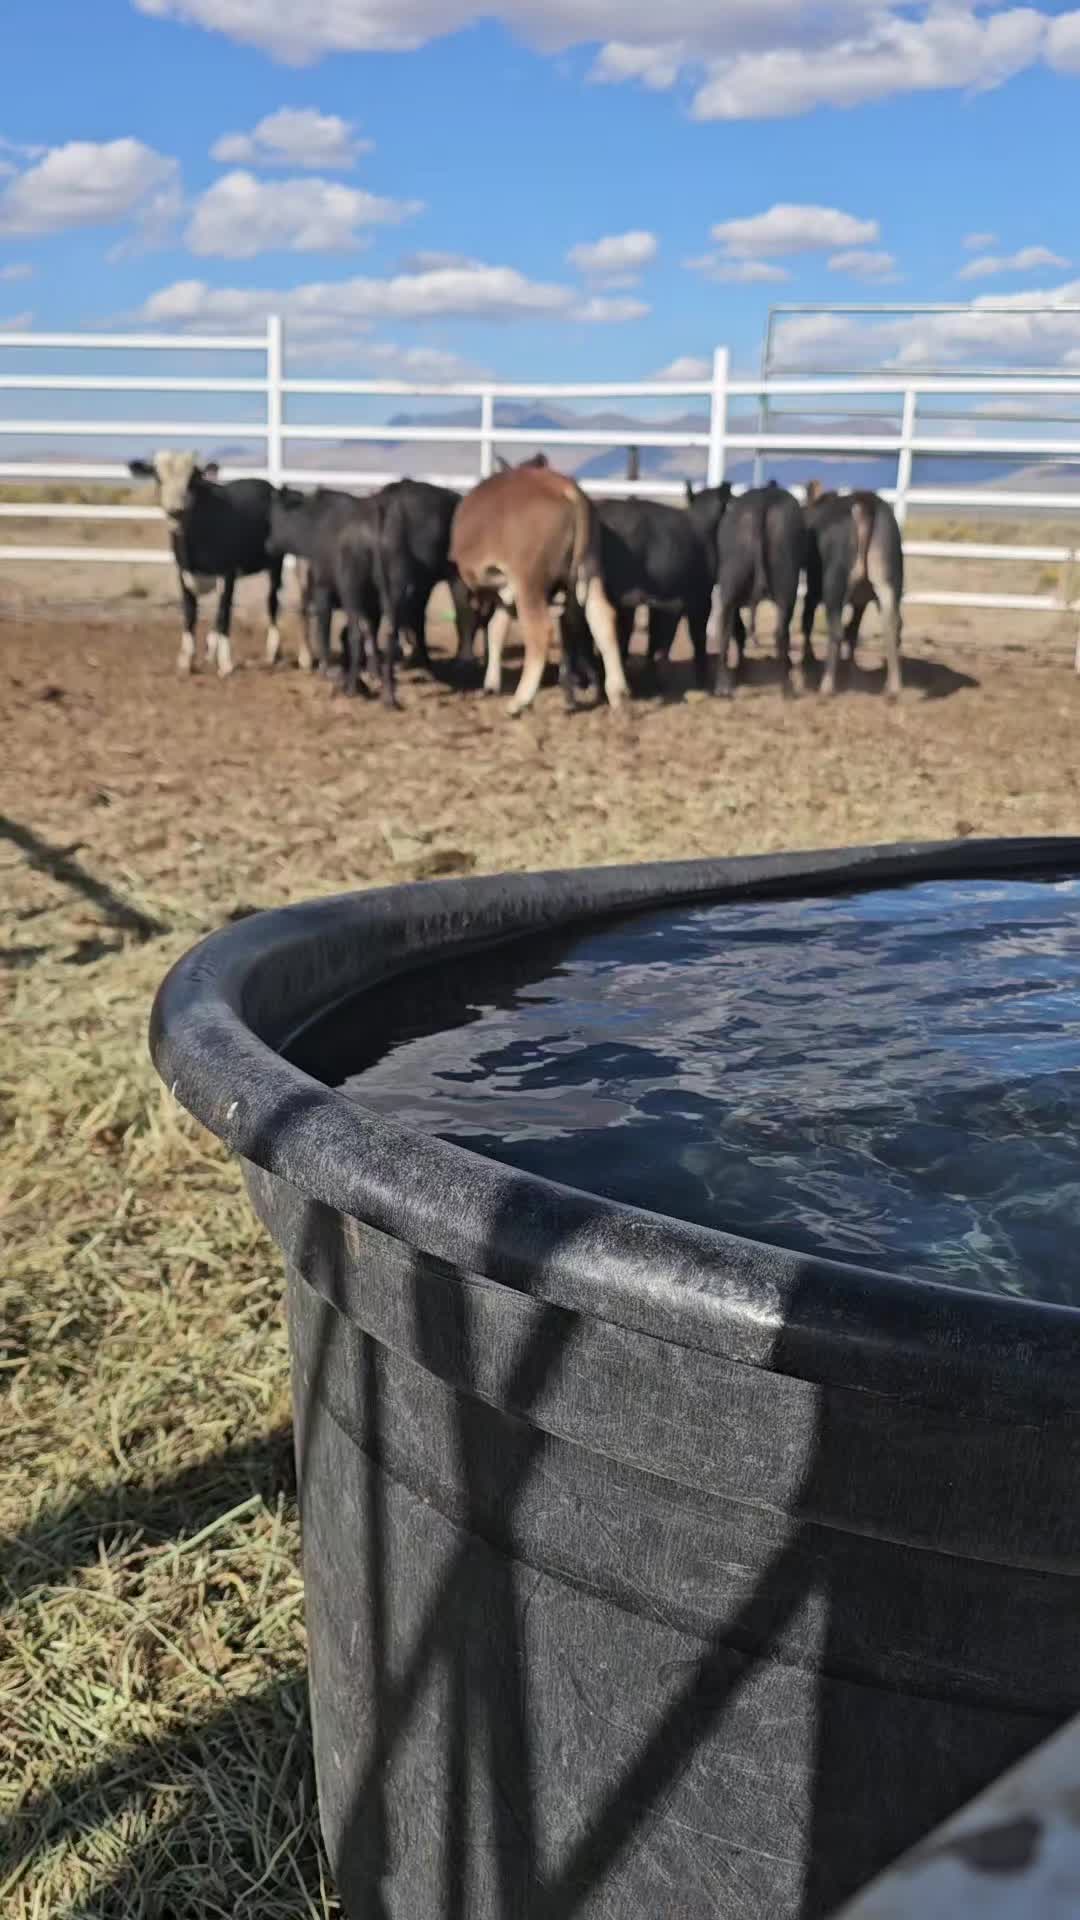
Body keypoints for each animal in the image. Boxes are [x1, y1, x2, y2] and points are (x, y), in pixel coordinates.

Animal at [128, 452, 283, 678]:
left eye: (192, 479)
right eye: (158, 477)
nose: (176, 511)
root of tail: (268, 486)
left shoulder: (227, 574)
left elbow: (225, 614)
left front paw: (226, 665)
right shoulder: (183, 574)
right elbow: (190, 614)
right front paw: (186, 662)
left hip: (276, 563)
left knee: (272, 601)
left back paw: (271, 653)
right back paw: (211, 650)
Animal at [450, 465, 628, 715]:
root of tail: (564, 487)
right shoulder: (506, 594)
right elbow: (496, 630)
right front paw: (491, 683)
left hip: (530, 582)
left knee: (540, 632)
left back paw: (519, 700)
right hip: (590, 570)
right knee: (602, 618)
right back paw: (617, 693)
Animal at [707, 483, 807, 697]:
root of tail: (763, 499)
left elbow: (739, 631)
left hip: (734, 585)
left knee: (728, 631)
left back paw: (724, 685)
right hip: (785, 586)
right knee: (779, 632)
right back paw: (785, 687)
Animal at [802, 481, 904, 699]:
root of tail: (865, 501)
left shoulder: (812, 591)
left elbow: (807, 621)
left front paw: (809, 659)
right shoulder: (861, 601)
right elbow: (853, 631)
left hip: (834, 584)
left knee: (836, 630)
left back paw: (826, 687)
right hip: (889, 583)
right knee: (892, 627)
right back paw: (892, 688)